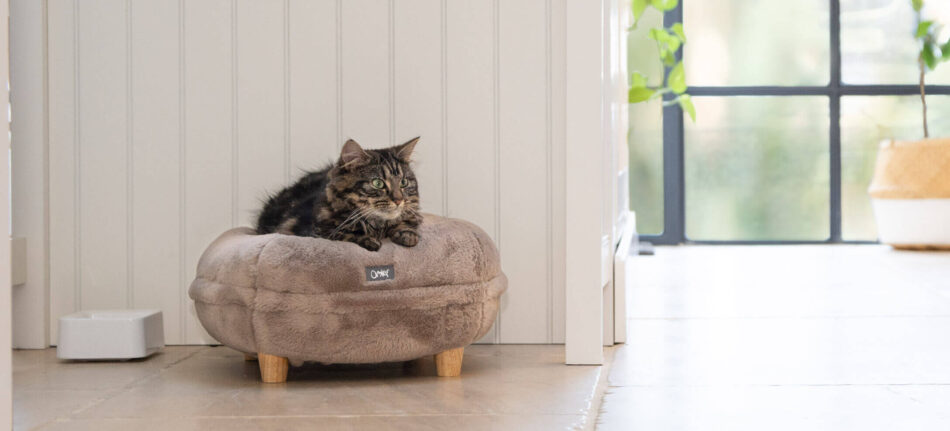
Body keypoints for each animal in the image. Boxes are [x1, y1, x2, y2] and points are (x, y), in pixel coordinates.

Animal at [258, 138, 426, 253]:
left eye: (403, 182)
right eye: (378, 183)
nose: (399, 200)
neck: (377, 226)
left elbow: (405, 223)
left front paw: (407, 234)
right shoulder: (312, 231)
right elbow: (343, 234)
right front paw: (368, 240)